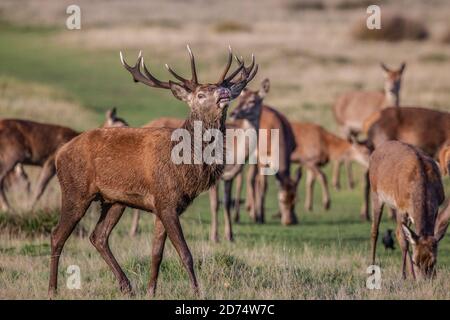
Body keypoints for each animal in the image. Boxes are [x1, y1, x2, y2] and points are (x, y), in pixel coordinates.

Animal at [48, 46, 256, 296]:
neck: (186, 165)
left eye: (220, 88)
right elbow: (185, 253)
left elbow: (157, 253)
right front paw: (197, 292)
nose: (225, 92)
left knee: (98, 236)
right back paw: (52, 289)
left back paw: (127, 286)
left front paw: (151, 291)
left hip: (115, 201)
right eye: (200, 95)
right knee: (57, 235)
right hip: (75, 190)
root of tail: (59, 153)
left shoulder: (164, 205)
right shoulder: (166, 201)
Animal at [368, 141, 448, 278]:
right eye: (416, 262)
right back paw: (373, 269)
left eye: (433, 262)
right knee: (376, 231)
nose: (425, 280)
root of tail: (376, 150)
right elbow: (403, 239)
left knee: (403, 234)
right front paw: (403, 276)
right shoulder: (401, 207)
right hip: (375, 193)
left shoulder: (437, 206)